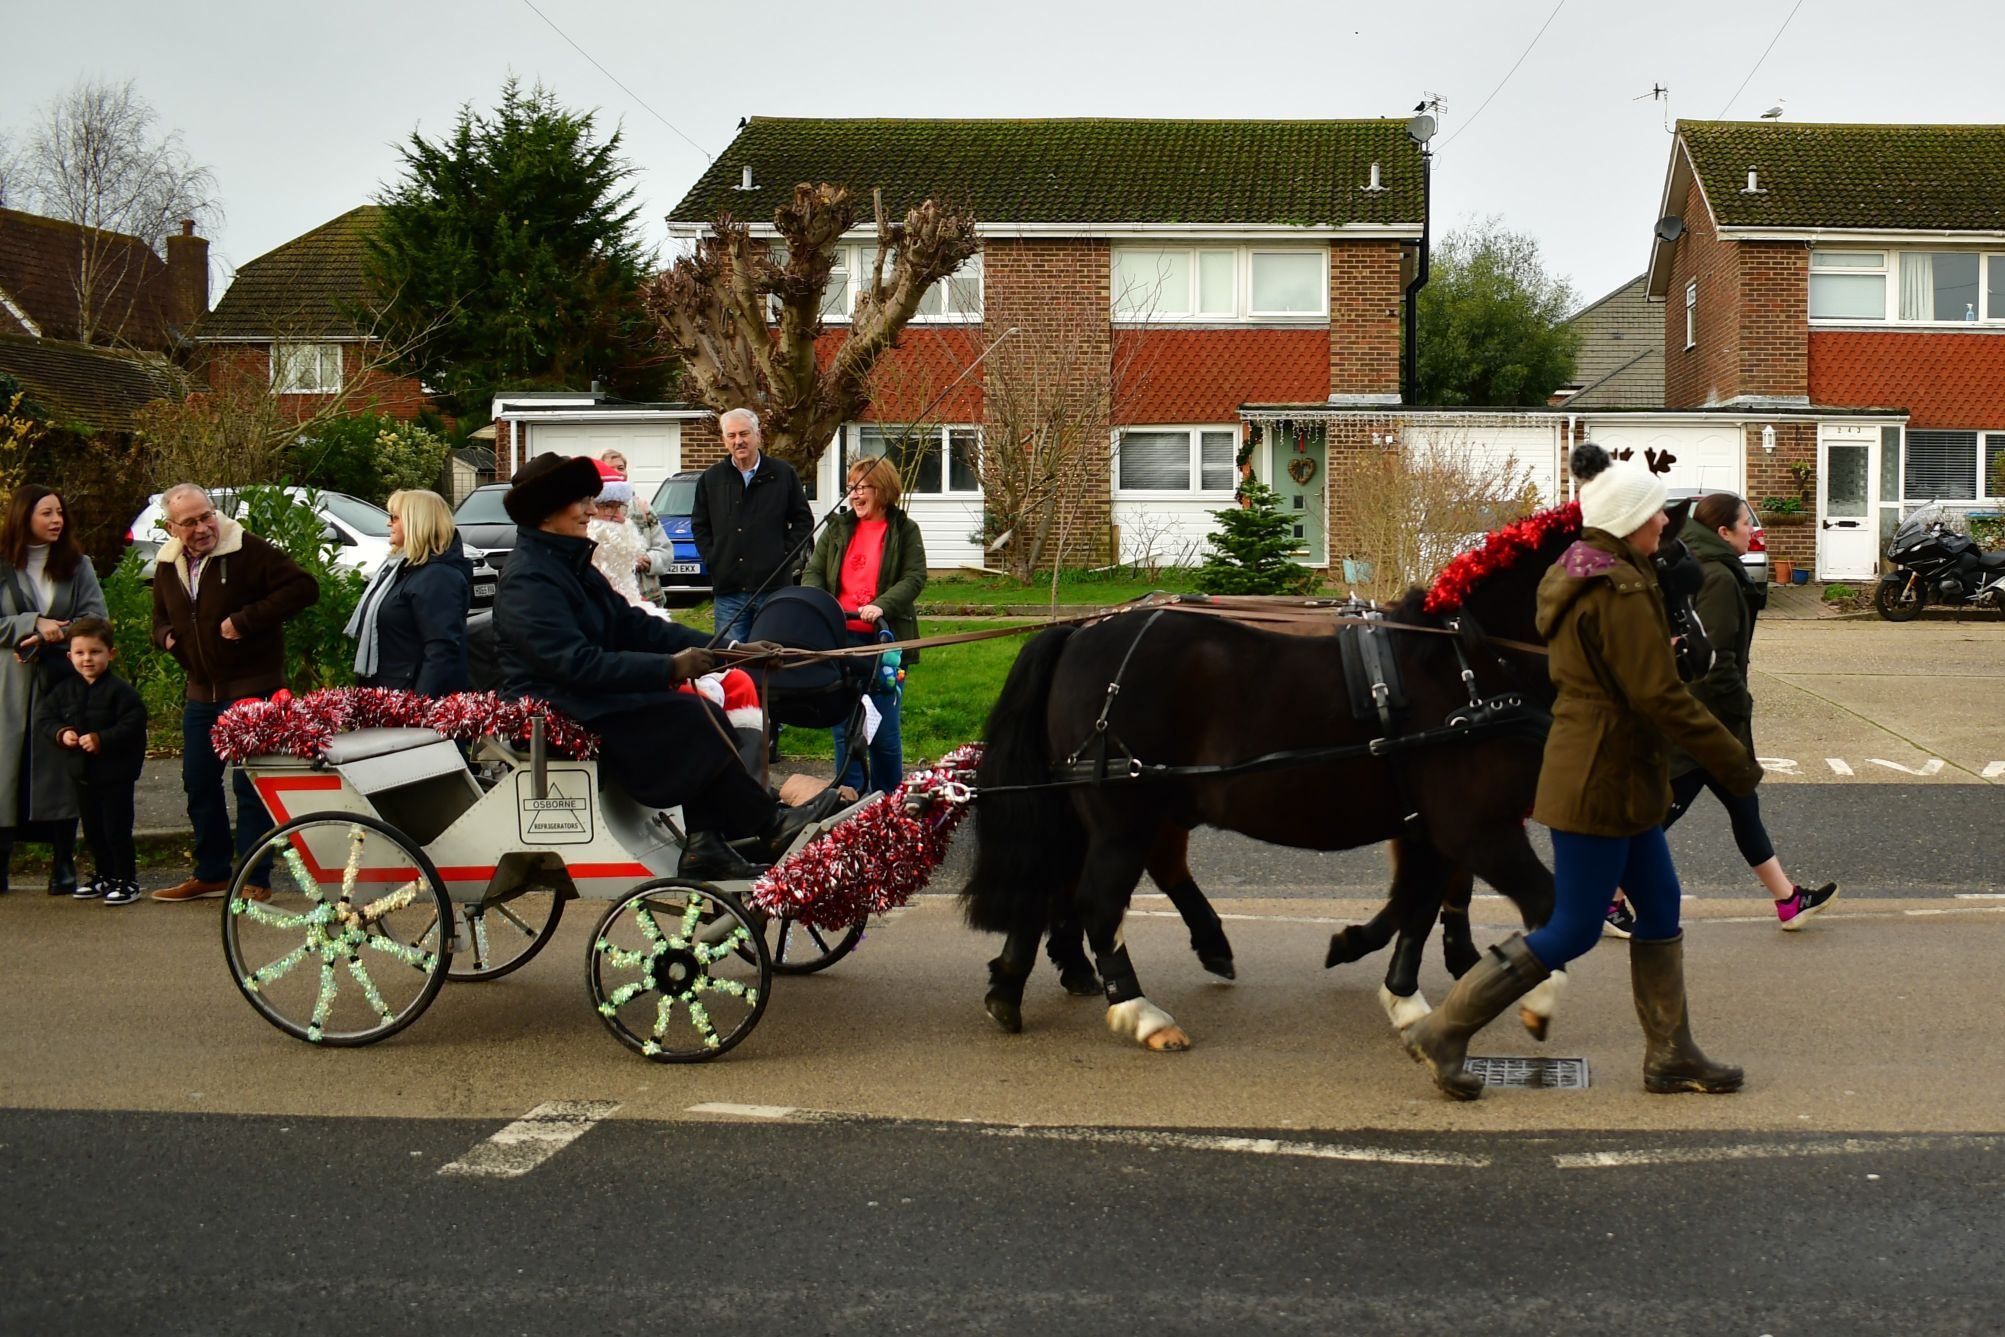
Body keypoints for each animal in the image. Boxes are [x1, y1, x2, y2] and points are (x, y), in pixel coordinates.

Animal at [962, 507, 1587, 1050]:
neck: (1469, 667)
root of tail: (1079, 631)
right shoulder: (1475, 826)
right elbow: (1544, 902)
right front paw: (1534, 996)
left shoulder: (1433, 828)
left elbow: (1419, 902)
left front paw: (1402, 993)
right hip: (1123, 812)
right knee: (1099, 899)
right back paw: (1140, 1010)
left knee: (1058, 880)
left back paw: (1012, 986)